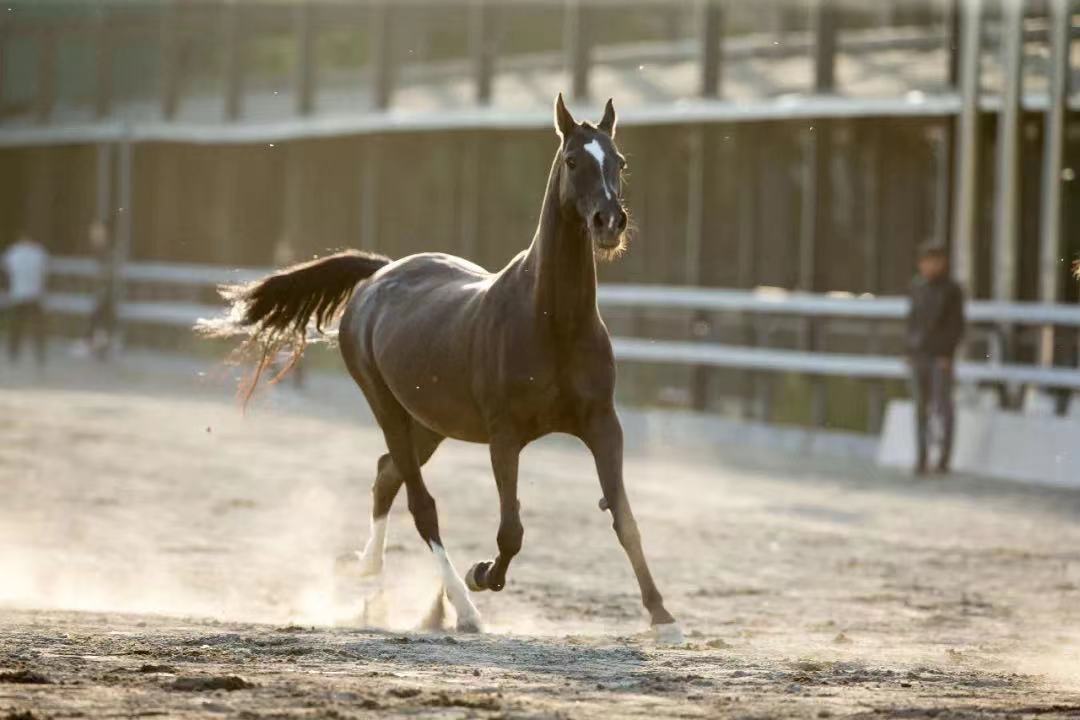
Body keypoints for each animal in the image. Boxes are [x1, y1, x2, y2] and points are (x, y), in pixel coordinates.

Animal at [204, 94, 682, 643]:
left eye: (619, 162)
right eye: (572, 161)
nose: (609, 222)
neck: (551, 321)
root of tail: (379, 275)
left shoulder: (602, 423)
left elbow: (624, 520)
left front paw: (663, 616)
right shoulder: (504, 435)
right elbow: (511, 531)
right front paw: (482, 575)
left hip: (428, 425)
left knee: (385, 475)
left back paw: (370, 579)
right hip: (387, 409)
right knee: (420, 505)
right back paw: (462, 608)